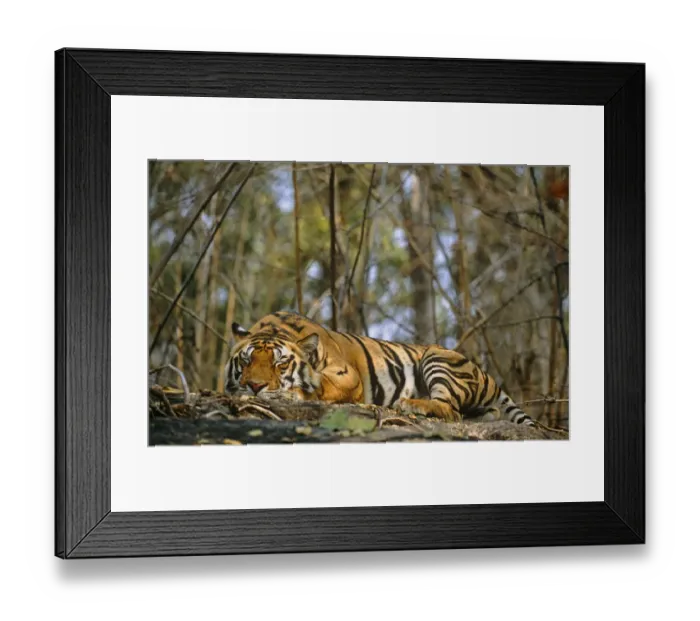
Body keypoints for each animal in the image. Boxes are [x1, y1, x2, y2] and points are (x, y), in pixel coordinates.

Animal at [224, 310, 534, 426]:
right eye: (246, 360)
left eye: (281, 363)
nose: (255, 386)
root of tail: (487, 374)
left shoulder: (347, 377)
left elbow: (320, 387)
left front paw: (290, 393)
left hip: (436, 358)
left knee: (451, 410)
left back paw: (411, 403)